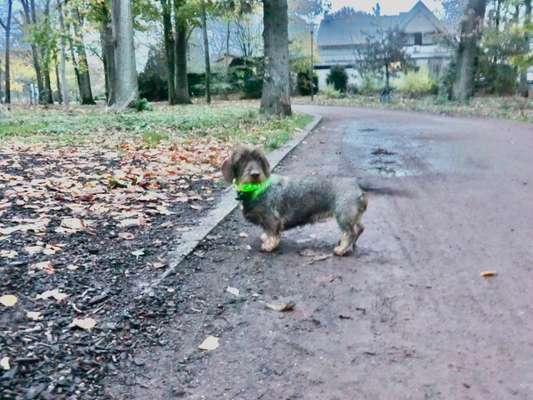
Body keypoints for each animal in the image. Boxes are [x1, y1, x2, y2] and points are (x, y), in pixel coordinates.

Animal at [220, 145, 366, 255]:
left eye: (260, 159)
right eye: (241, 159)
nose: (255, 174)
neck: (256, 190)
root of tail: (356, 186)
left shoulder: (271, 219)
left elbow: (272, 233)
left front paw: (269, 245)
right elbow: (267, 231)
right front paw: (265, 238)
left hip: (343, 216)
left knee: (350, 232)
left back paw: (341, 249)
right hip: (353, 217)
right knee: (359, 229)